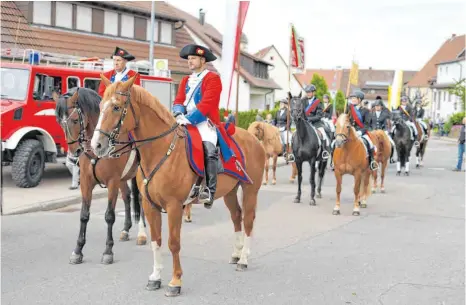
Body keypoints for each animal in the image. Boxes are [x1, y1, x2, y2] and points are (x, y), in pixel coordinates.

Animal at [52, 86, 146, 264]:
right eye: (59, 122)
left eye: (75, 120)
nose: (75, 152)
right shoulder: (86, 182)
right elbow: (84, 215)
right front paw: (78, 250)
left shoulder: (112, 182)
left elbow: (109, 215)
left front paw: (108, 251)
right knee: (127, 196)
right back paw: (126, 229)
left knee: (141, 200)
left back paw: (142, 234)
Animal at [91, 75, 266, 296]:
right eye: (99, 106)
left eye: (116, 107)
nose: (96, 145)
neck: (161, 149)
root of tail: (253, 138)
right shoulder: (150, 205)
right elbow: (156, 240)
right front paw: (155, 277)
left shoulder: (174, 206)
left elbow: (173, 243)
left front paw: (175, 282)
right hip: (230, 192)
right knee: (236, 217)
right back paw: (236, 253)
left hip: (251, 190)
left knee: (248, 220)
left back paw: (243, 259)